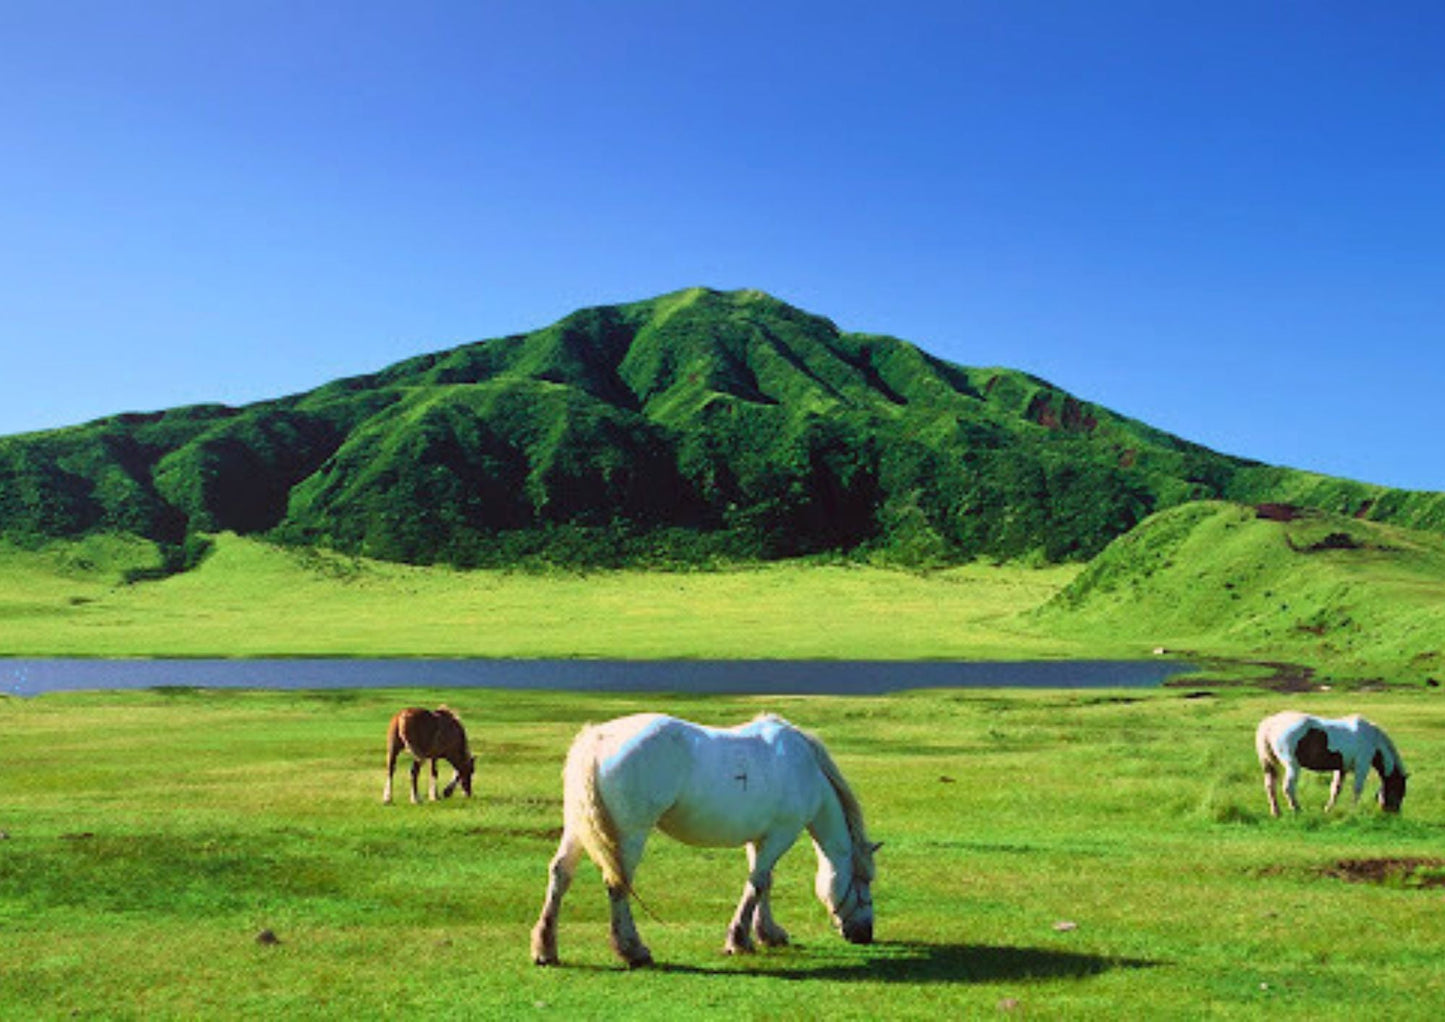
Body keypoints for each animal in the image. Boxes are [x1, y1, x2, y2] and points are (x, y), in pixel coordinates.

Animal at [525, 711, 872, 965]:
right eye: (864, 880)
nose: (865, 934)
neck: (804, 768)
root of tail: (596, 740)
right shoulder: (780, 835)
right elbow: (758, 883)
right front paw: (739, 940)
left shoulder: (759, 838)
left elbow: (762, 883)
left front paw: (767, 933)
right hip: (630, 834)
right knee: (618, 884)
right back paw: (633, 950)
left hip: (577, 830)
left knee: (560, 874)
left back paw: (545, 948)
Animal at [1254, 711, 1410, 815]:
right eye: (1399, 790)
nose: (1393, 813)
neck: (1373, 739)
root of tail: (1271, 723)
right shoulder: (1362, 766)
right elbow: (1357, 789)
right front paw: (1352, 812)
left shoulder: (1341, 769)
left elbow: (1335, 789)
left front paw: (1328, 810)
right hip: (1292, 765)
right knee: (1288, 787)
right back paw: (1297, 810)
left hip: (1269, 766)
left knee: (1270, 787)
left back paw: (1276, 812)